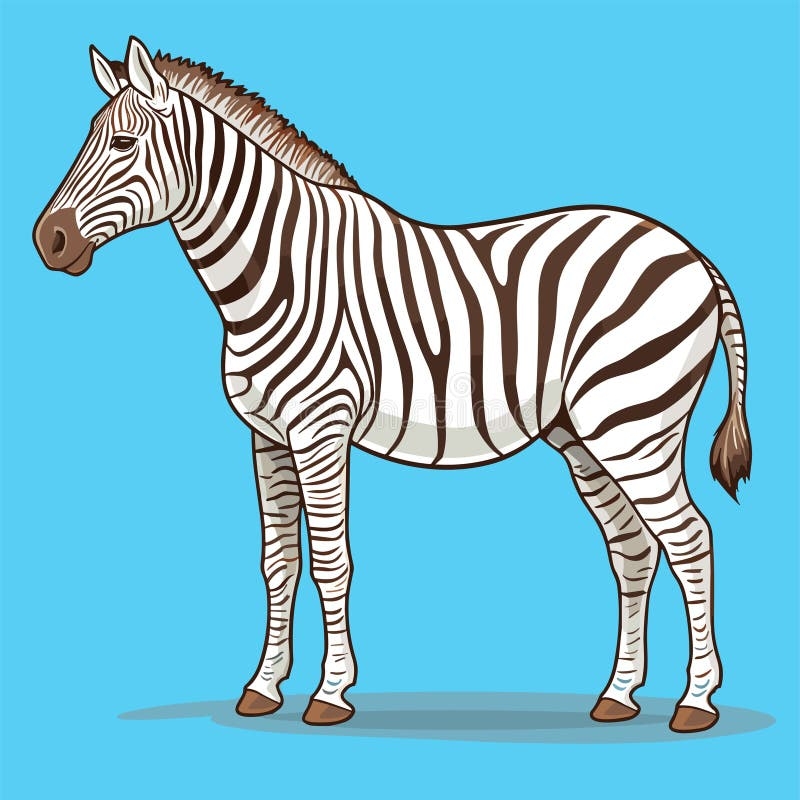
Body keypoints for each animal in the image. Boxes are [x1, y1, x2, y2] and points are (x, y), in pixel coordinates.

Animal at [33, 37, 750, 733]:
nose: (48, 241)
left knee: (691, 541)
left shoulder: (320, 427)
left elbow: (330, 560)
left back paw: (695, 702)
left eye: (123, 144)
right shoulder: (266, 436)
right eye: (88, 138)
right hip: (585, 434)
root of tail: (693, 254)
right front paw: (262, 687)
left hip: (634, 423)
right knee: (634, 548)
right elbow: (277, 564)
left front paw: (330, 692)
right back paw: (619, 695)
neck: (273, 274)